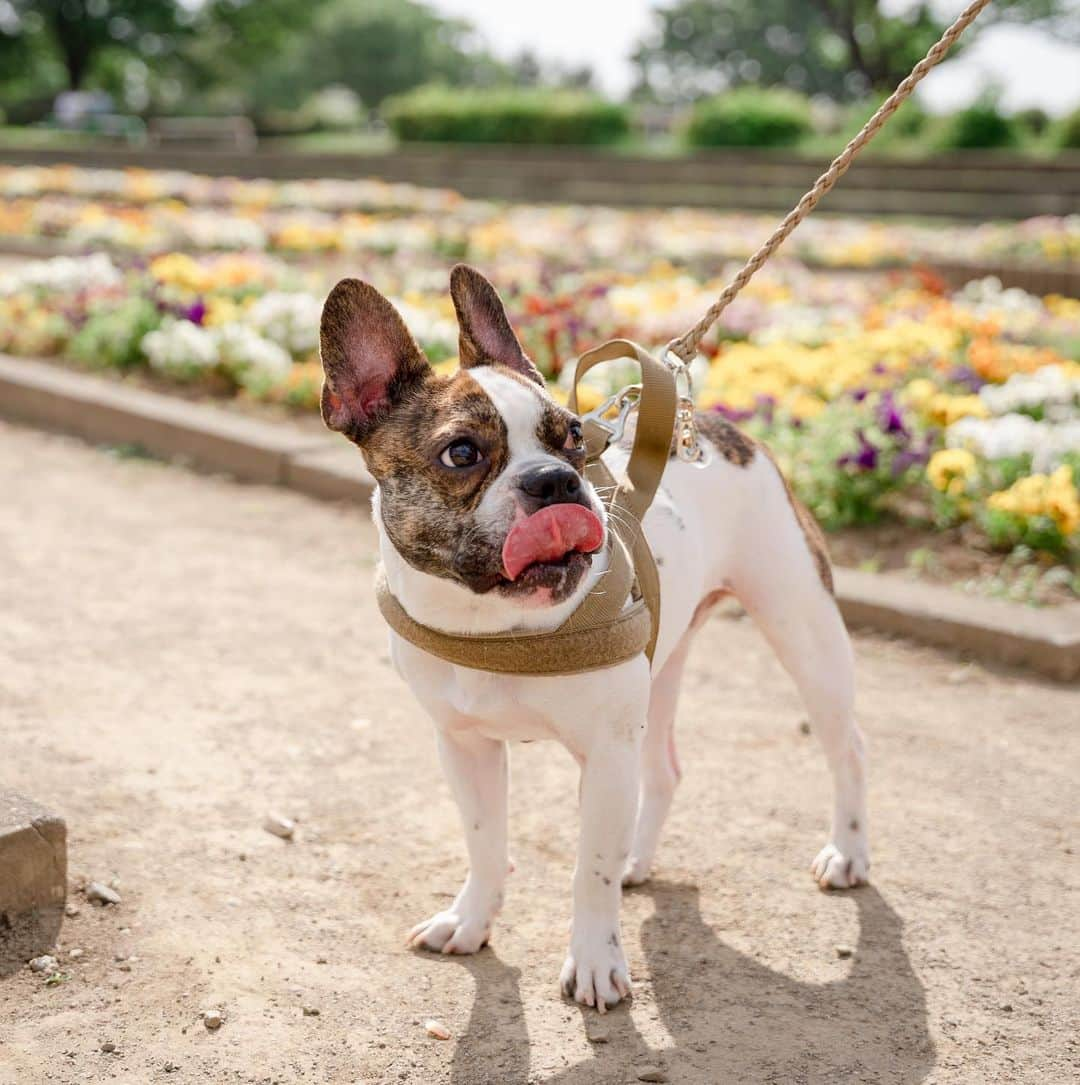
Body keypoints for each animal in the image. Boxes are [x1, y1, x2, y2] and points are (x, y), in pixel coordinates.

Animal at [321, 266, 868, 1011]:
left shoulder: (605, 753)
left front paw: (594, 961)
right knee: (662, 768)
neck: (498, 624)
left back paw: (848, 852)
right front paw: (471, 921)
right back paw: (641, 857)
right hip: (663, 664)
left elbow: (590, 868)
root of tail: (716, 428)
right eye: (461, 453)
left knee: (846, 746)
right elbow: (484, 841)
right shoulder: (464, 745)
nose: (554, 478)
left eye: (574, 435)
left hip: (802, 628)